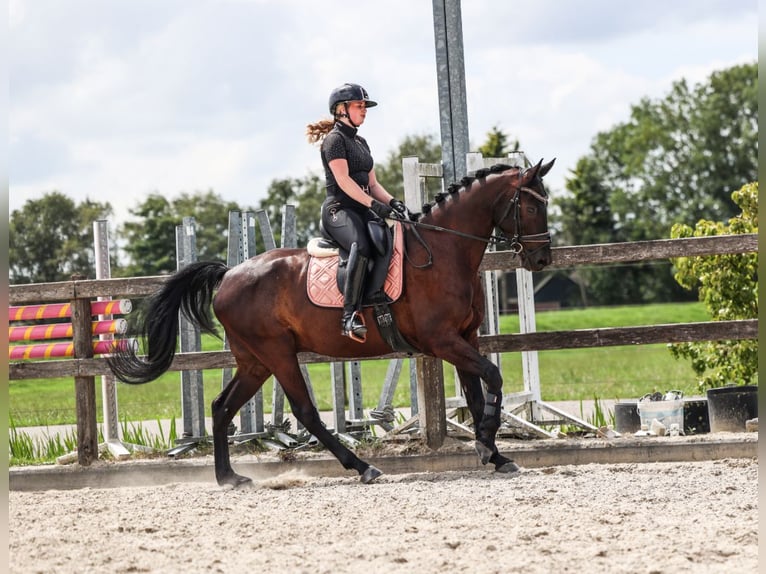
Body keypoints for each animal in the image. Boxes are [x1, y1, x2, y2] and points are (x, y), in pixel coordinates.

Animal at [108, 159, 555, 487]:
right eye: (532, 206)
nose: (542, 260)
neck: (443, 251)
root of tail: (230, 274)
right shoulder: (442, 340)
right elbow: (493, 377)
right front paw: (487, 444)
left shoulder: (465, 337)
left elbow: (478, 394)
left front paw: (494, 452)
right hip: (277, 353)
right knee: (305, 412)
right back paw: (362, 467)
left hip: (255, 361)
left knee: (222, 408)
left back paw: (230, 478)